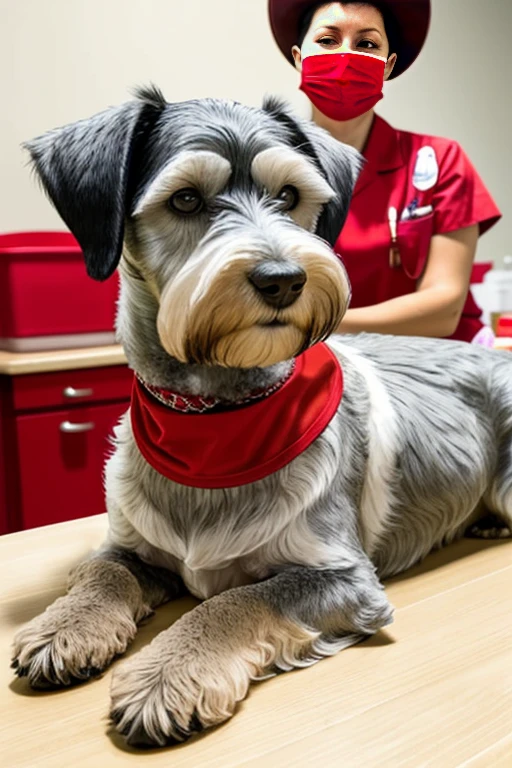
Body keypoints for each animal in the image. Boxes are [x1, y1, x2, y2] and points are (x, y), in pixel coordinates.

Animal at [12, 87, 512, 748]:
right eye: (186, 198)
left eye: (290, 196)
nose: (284, 279)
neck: (212, 419)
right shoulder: (128, 545)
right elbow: (102, 575)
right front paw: (64, 625)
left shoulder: (342, 577)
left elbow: (237, 602)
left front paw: (168, 674)